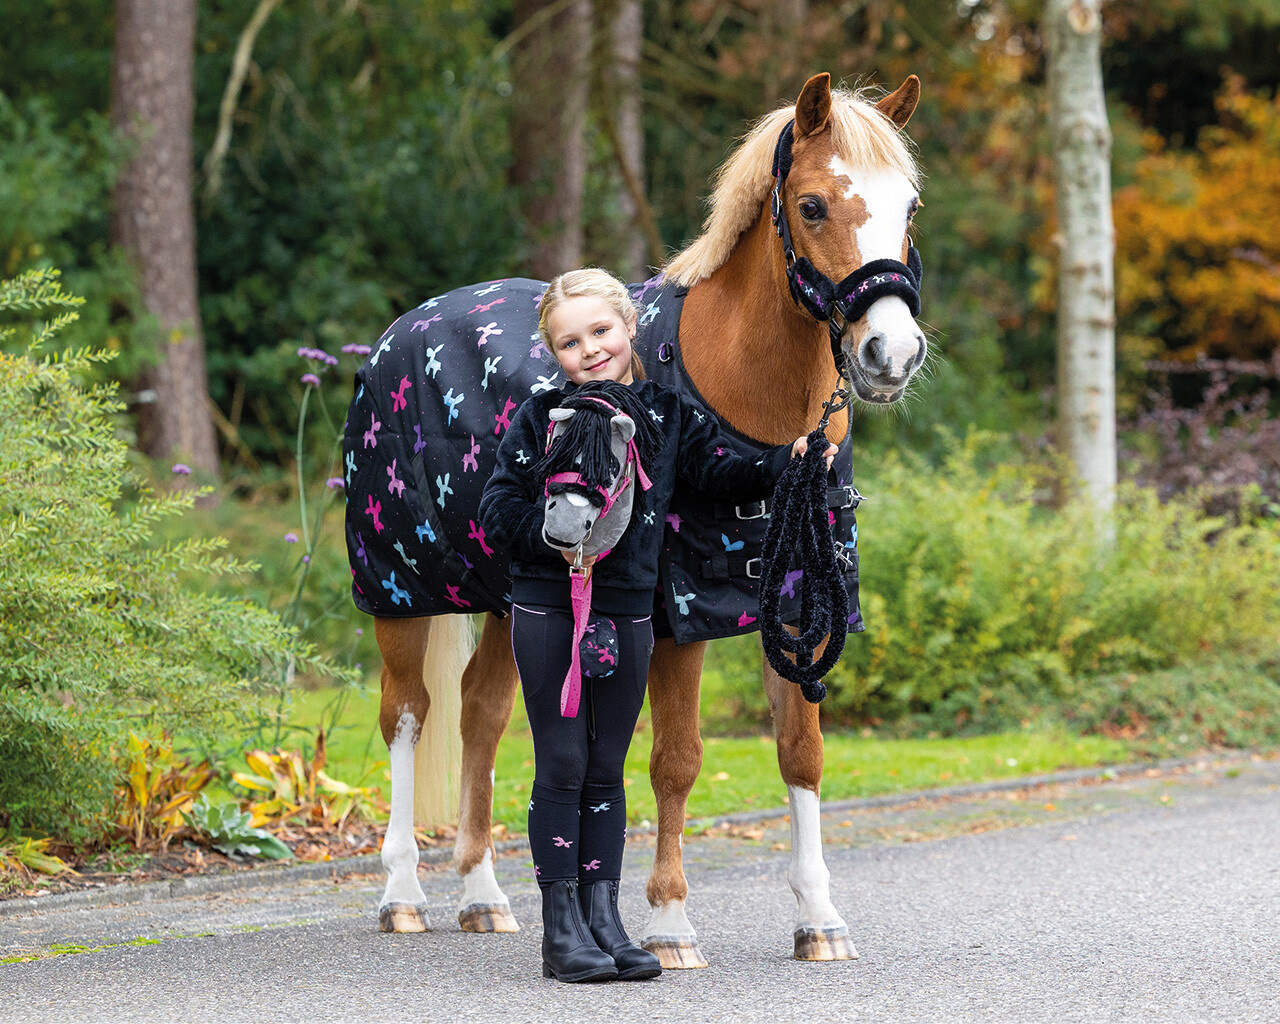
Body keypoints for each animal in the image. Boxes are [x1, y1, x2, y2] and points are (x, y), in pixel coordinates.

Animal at [343, 71, 926, 963]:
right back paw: (402, 894)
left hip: (513, 598)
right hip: (401, 594)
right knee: (408, 717)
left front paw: (819, 920)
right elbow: (675, 760)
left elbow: (801, 754)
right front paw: (671, 921)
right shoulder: (674, 621)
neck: (735, 399)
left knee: (481, 713)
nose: (890, 355)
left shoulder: (797, 603)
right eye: (815, 205)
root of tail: (402, 333)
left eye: (911, 206)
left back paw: (481, 895)